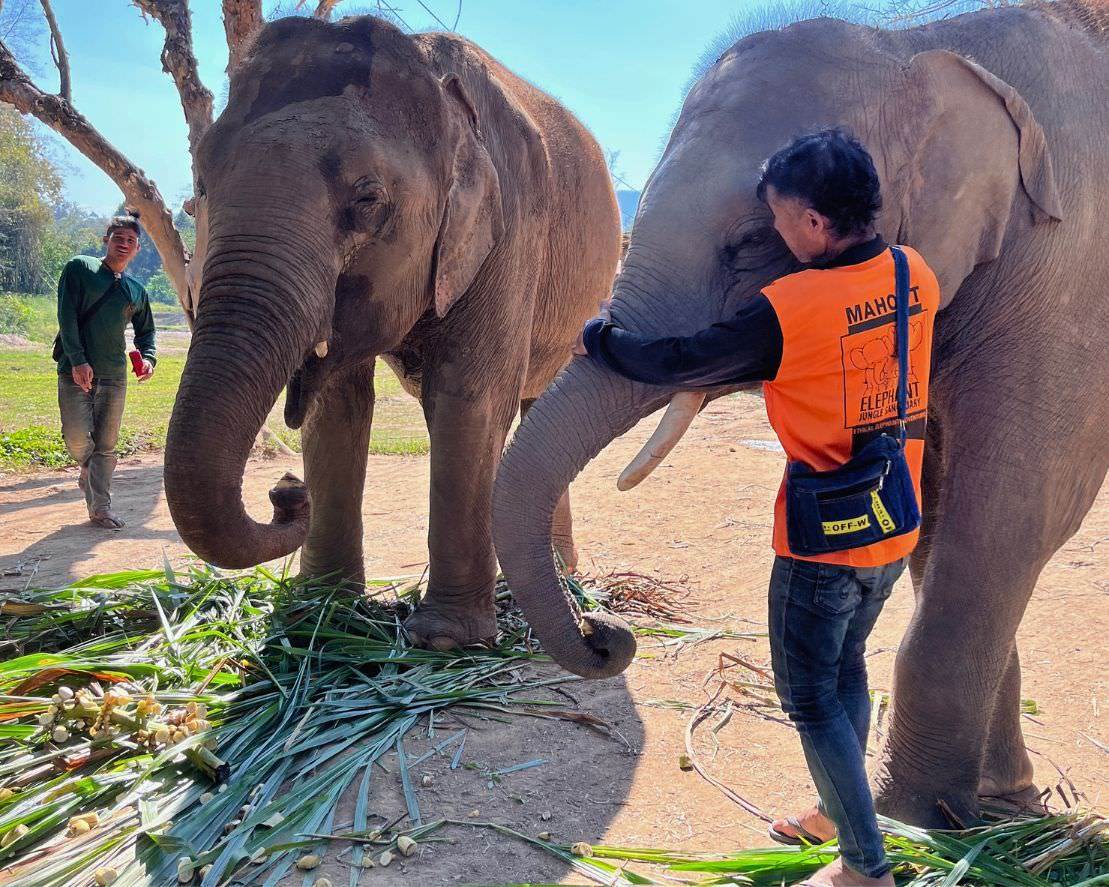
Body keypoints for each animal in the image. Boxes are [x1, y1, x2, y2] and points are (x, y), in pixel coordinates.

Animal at [163, 14, 621, 649]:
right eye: (201, 188)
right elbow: (340, 405)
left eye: (368, 198)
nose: (285, 491)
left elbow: (468, 395)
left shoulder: (511, 227)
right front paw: (323, 610)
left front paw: (446, 640)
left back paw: (558, 582)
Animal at [492, 4, 1109, 828]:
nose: (607, 631)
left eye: (754, 240)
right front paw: (999, 809)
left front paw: (916, 819)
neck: (924, 43)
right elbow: (934, 508)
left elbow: (1011, 513)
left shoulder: (1070, 281)